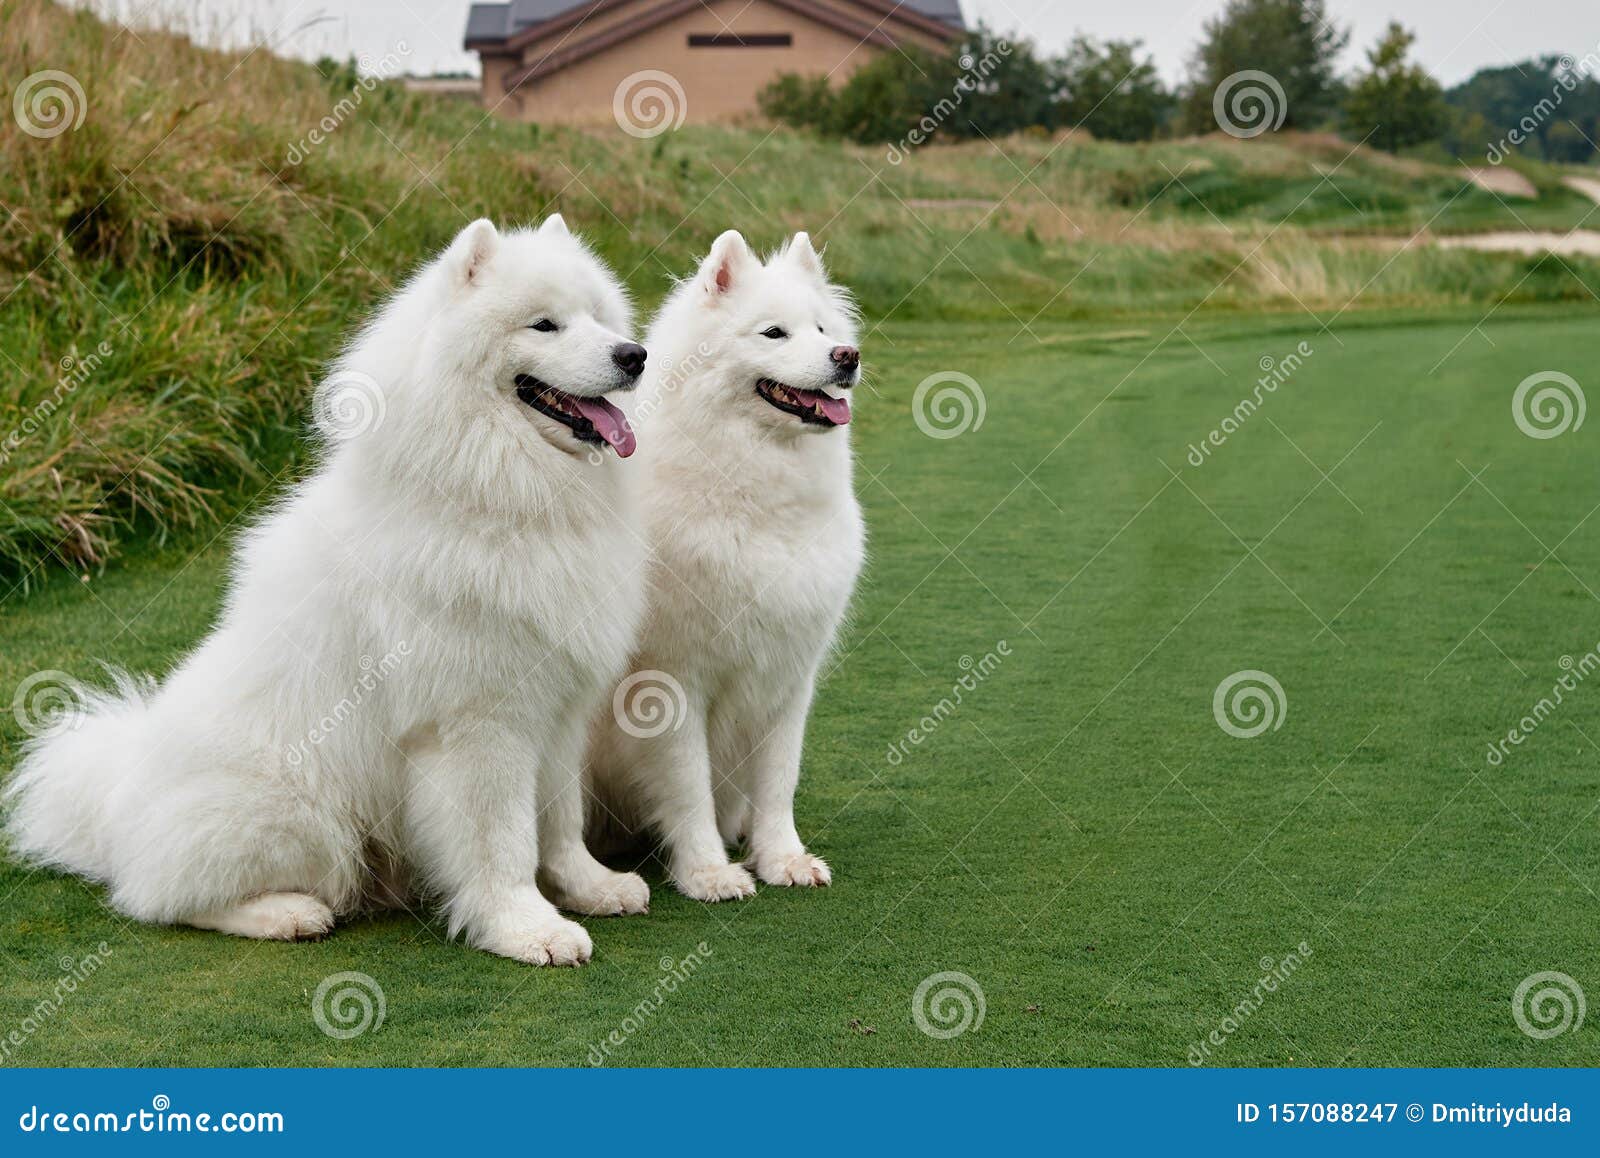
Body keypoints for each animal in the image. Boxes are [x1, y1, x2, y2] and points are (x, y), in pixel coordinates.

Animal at [4, 217, 656, 966]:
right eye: (544, 325)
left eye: (599, 318)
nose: (634, 355)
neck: (501, 494)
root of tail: (116, 802)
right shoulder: (479, 723)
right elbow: (504, 842)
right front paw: (525, 927)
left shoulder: (559, 710)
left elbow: (560, 822)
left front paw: (591, 888)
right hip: (303, 813)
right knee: (161, 899)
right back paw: (283, 913)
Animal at [588, 230, 864, 902]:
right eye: (774, 333)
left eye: (823, 329)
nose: (847, 356)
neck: (756, 498)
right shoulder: (673, 682)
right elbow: (688, 789)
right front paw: (708, 872)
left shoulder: (789, 677)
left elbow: (778, 782)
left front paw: (782, 858)